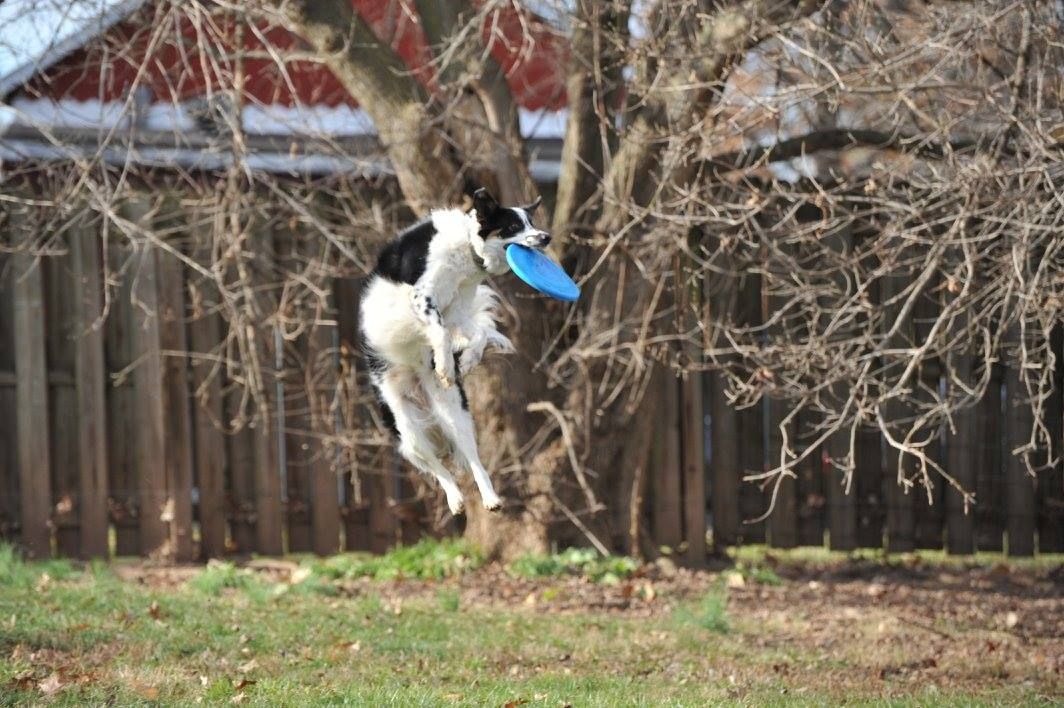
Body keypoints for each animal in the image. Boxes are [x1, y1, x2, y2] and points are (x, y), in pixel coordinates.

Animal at [359, 188, 550, 515]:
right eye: (514, 226)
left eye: (532, 222)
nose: (546, 237)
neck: (468, 247)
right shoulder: (422, 297)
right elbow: (440, 330)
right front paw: (447, 364)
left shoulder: (457, 311)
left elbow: (477, 333)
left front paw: (466, 361)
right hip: (407, 428)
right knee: (438, 468)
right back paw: (455, 498)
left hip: (454, 414)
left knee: (472, 459)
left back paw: (490, 498)